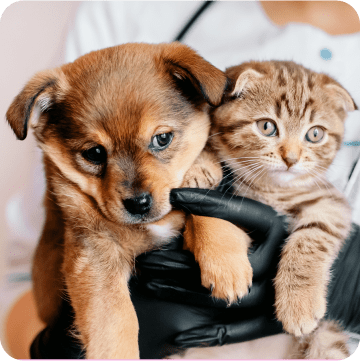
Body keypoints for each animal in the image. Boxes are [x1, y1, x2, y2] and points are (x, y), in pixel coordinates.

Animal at [5, 41, 246, 358]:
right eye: (94, 153)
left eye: (162, 138)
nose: (138, 204)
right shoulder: (95, 253)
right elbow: (115, 321)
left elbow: (207, 202)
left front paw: (226, 264)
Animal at [211, 61, 358, 358]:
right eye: (267, 127)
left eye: (315, 134)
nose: (291, 159)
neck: (273, 191)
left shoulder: (331, 202)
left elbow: (314, 235)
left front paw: (299, 304)